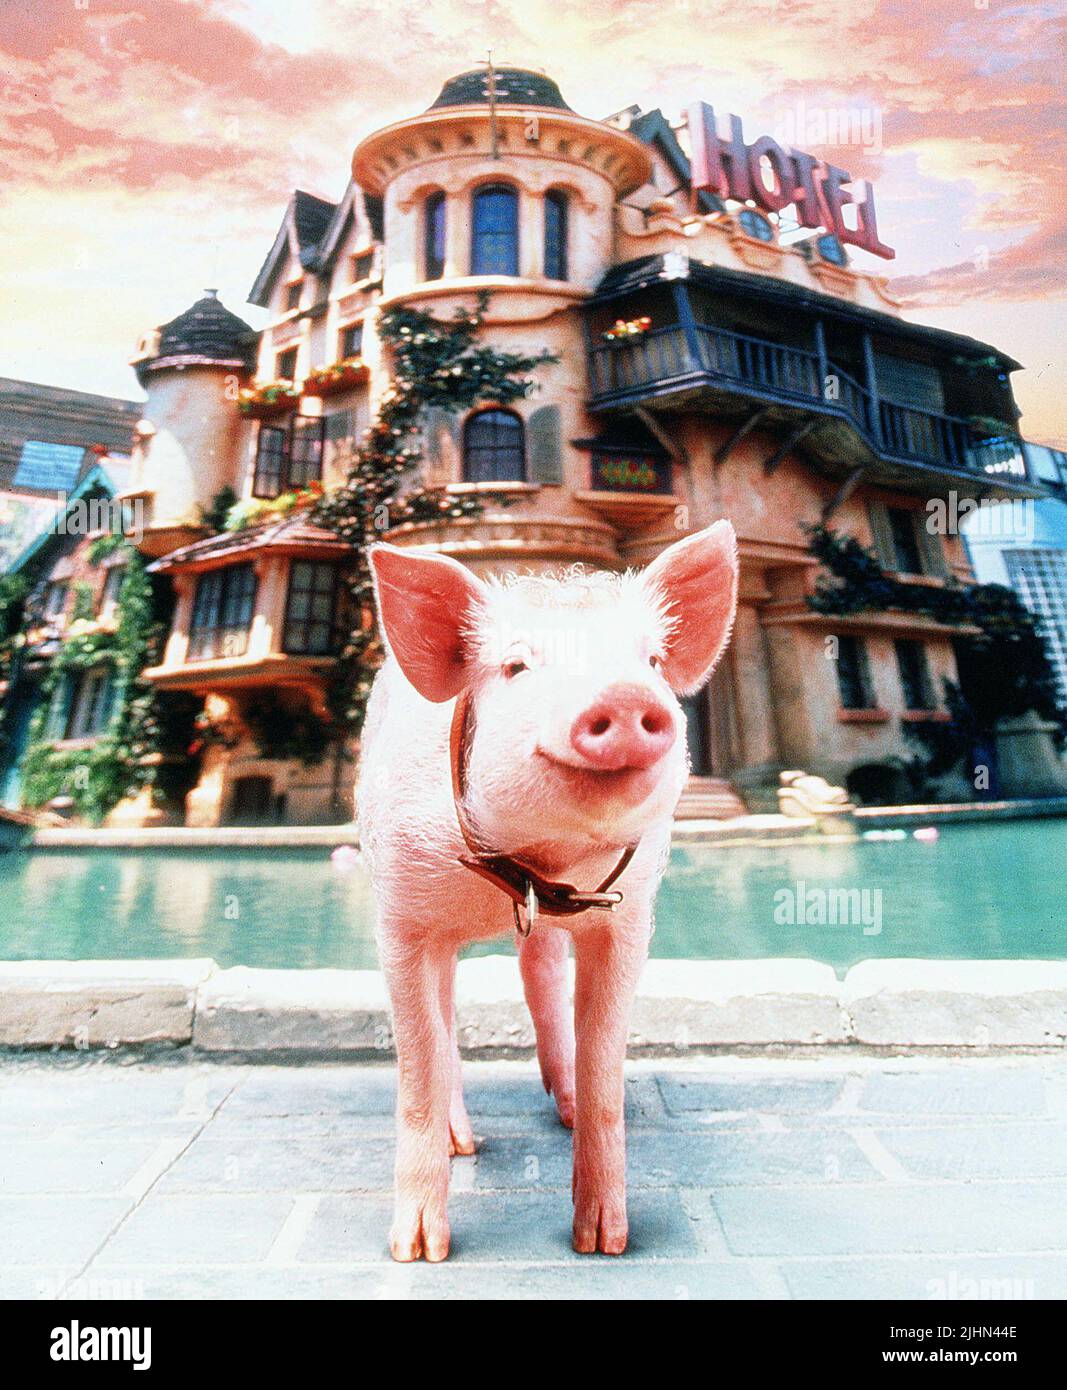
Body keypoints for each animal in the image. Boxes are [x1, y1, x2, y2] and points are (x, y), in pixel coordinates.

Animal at [359, 521, 738, 1261]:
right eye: (516, 668)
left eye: (652, 662)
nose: (624, 697)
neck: (536, 869)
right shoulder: (401, 913)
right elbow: (418, 1062)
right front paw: (418, 1252)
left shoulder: (627, 918)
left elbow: (604, 1067)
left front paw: (603, 1244)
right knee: (447, 1018)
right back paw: (463, 1146)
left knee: (539, 982)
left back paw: (559, 1109)